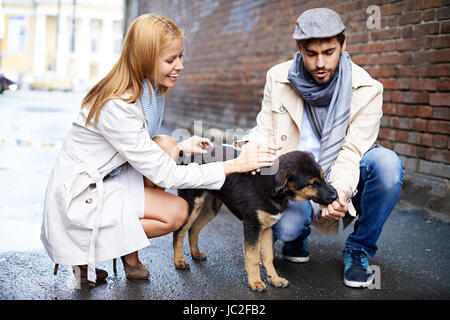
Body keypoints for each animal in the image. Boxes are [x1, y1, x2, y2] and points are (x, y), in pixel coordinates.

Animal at [174, 145, 336, 292]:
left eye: (323, 177)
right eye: (312, 184)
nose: (336, 195)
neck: (273, 189)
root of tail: (190, 155)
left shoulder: (267, 227)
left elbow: (268, 256)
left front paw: (275, 279)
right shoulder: (252, 226)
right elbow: (253, 256)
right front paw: (255, 282)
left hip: (211, 207)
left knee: (194, 229)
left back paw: (195, 253)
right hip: (192, 203)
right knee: (179, 232)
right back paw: (179, 261)